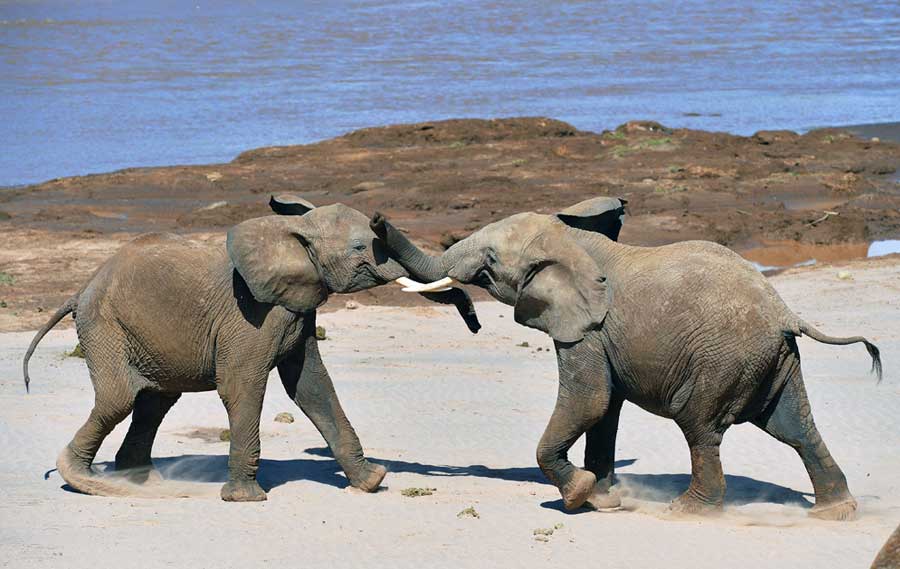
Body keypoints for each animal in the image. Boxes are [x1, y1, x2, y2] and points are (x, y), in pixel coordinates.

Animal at [21, 195, 478, 502]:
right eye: (358, 248)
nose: (474, 323)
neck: (291, 233)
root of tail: (80, 291)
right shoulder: (250, 314)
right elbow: (243, 385)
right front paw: (246, 498)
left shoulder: (296, 307)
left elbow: (312, 387)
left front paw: (372, 482)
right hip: (105, 327)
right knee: (120, 399)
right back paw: (85, 480)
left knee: (154, 401)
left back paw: (141, 482)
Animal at [370, 196, 880, 520]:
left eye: (490, 261)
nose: (375, 219)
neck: (571, 240)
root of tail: (784, 313)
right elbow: (605, 411)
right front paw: (603, 498)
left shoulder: (588, 331)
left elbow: (590, 400)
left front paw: (578, 496)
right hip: (774, 361)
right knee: (796, 428)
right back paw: (836, 512)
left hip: (724, 361)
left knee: (700, 426)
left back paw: (688, 511)